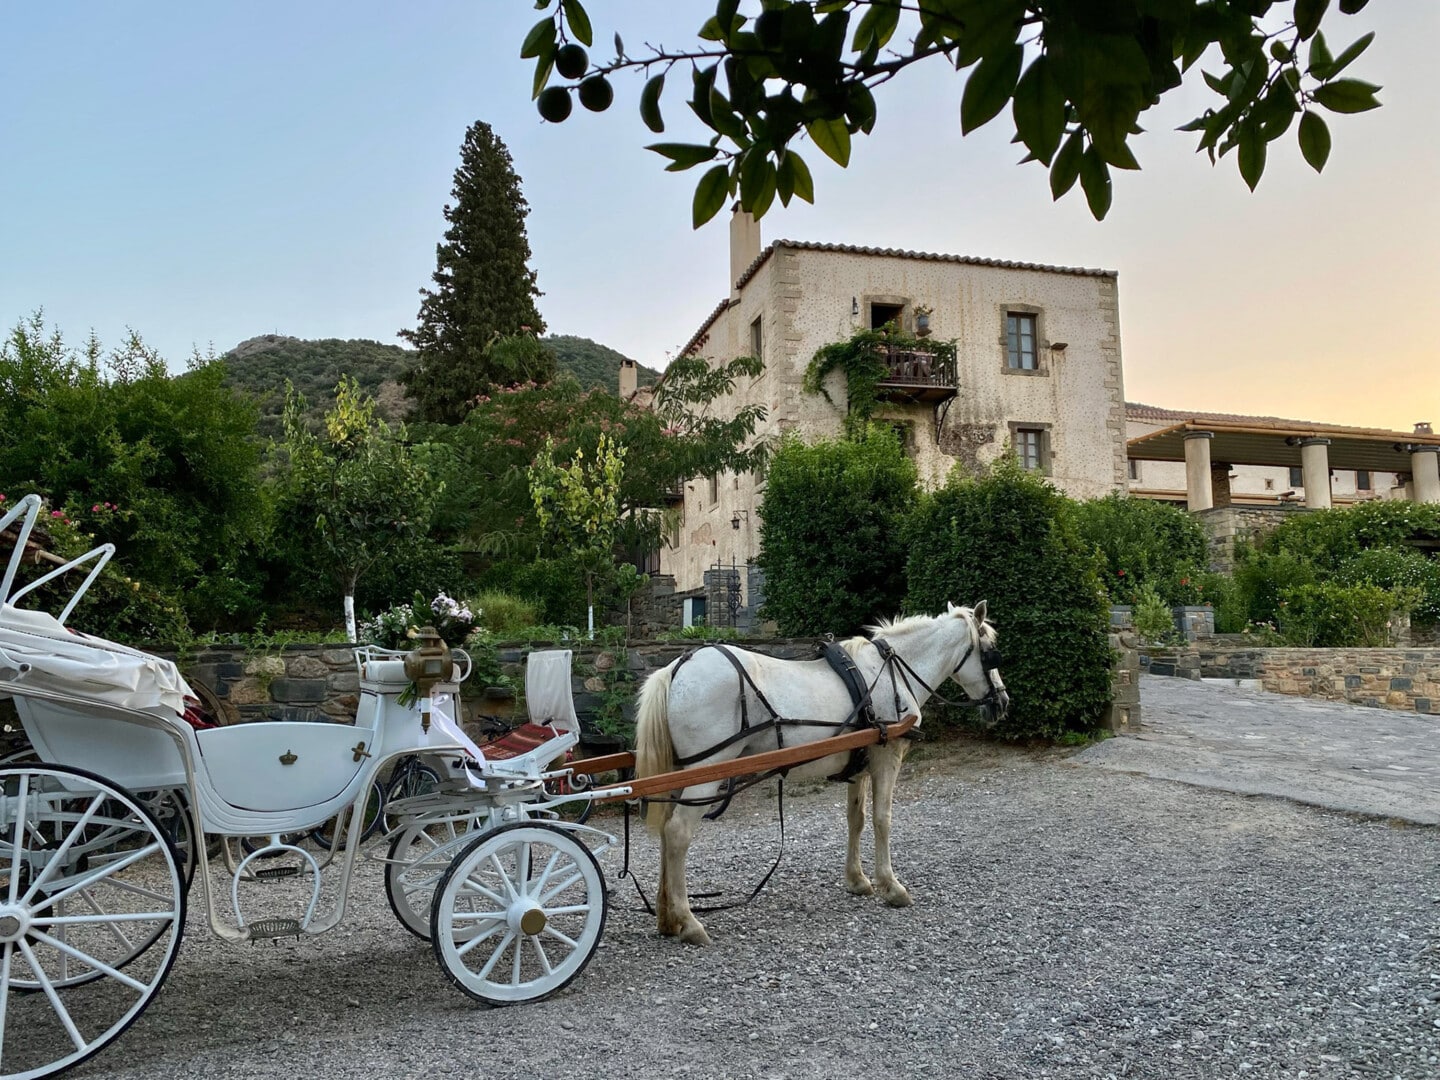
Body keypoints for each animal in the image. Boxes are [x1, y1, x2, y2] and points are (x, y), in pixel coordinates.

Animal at [636, 601, 1008, 944]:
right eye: (991, 653)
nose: (1002, 703)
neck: (892, 671)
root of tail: (677, 667)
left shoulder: (860, 764)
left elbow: (856, 819)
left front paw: (858, 880)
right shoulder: (887, 756)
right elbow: (882, 819)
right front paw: (891, 886)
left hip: (682, 775)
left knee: (666, 832)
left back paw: (667, 917)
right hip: (706, 772)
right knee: (678, 833)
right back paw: (689, 922)